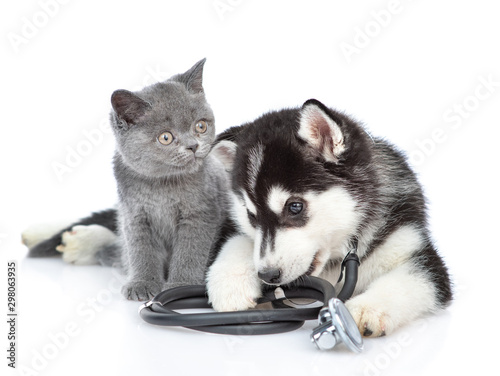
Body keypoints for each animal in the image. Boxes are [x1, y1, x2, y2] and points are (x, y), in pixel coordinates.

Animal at [23, 60, 230, 302]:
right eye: (166, 137)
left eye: (200, 126)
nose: (193, 146)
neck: (162, 185)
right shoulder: (134, 215)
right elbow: (140, 250)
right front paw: (142, 283)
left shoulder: (200, 214)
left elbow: (190, 251)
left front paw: (181, 285)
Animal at [207, 98, 454, 336]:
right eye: (251, 215)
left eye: (294, 207)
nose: (268, 274)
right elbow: (238, 240)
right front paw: (231, 282)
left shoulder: (413, 246)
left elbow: (408, 279)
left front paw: (365, 309)